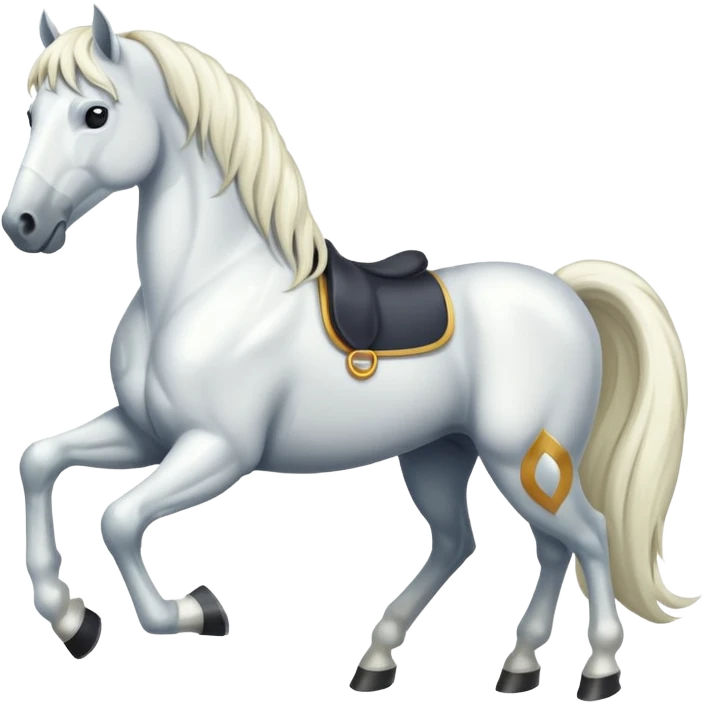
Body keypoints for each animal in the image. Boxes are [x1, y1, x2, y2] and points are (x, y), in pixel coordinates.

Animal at [4, 5, 699, 699]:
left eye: (96, 113)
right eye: (32, 113)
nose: (23, 224)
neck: (209, 284)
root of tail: (564, 291)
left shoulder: (217, 450)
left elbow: (118, 519)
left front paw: (195, 611)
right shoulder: (146, 433)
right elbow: (39, 462)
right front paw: (71, 620)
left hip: (523, 458)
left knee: (588, 535)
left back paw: (598, 671)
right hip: (442, 453)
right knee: (489, 544)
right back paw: (470, 664)